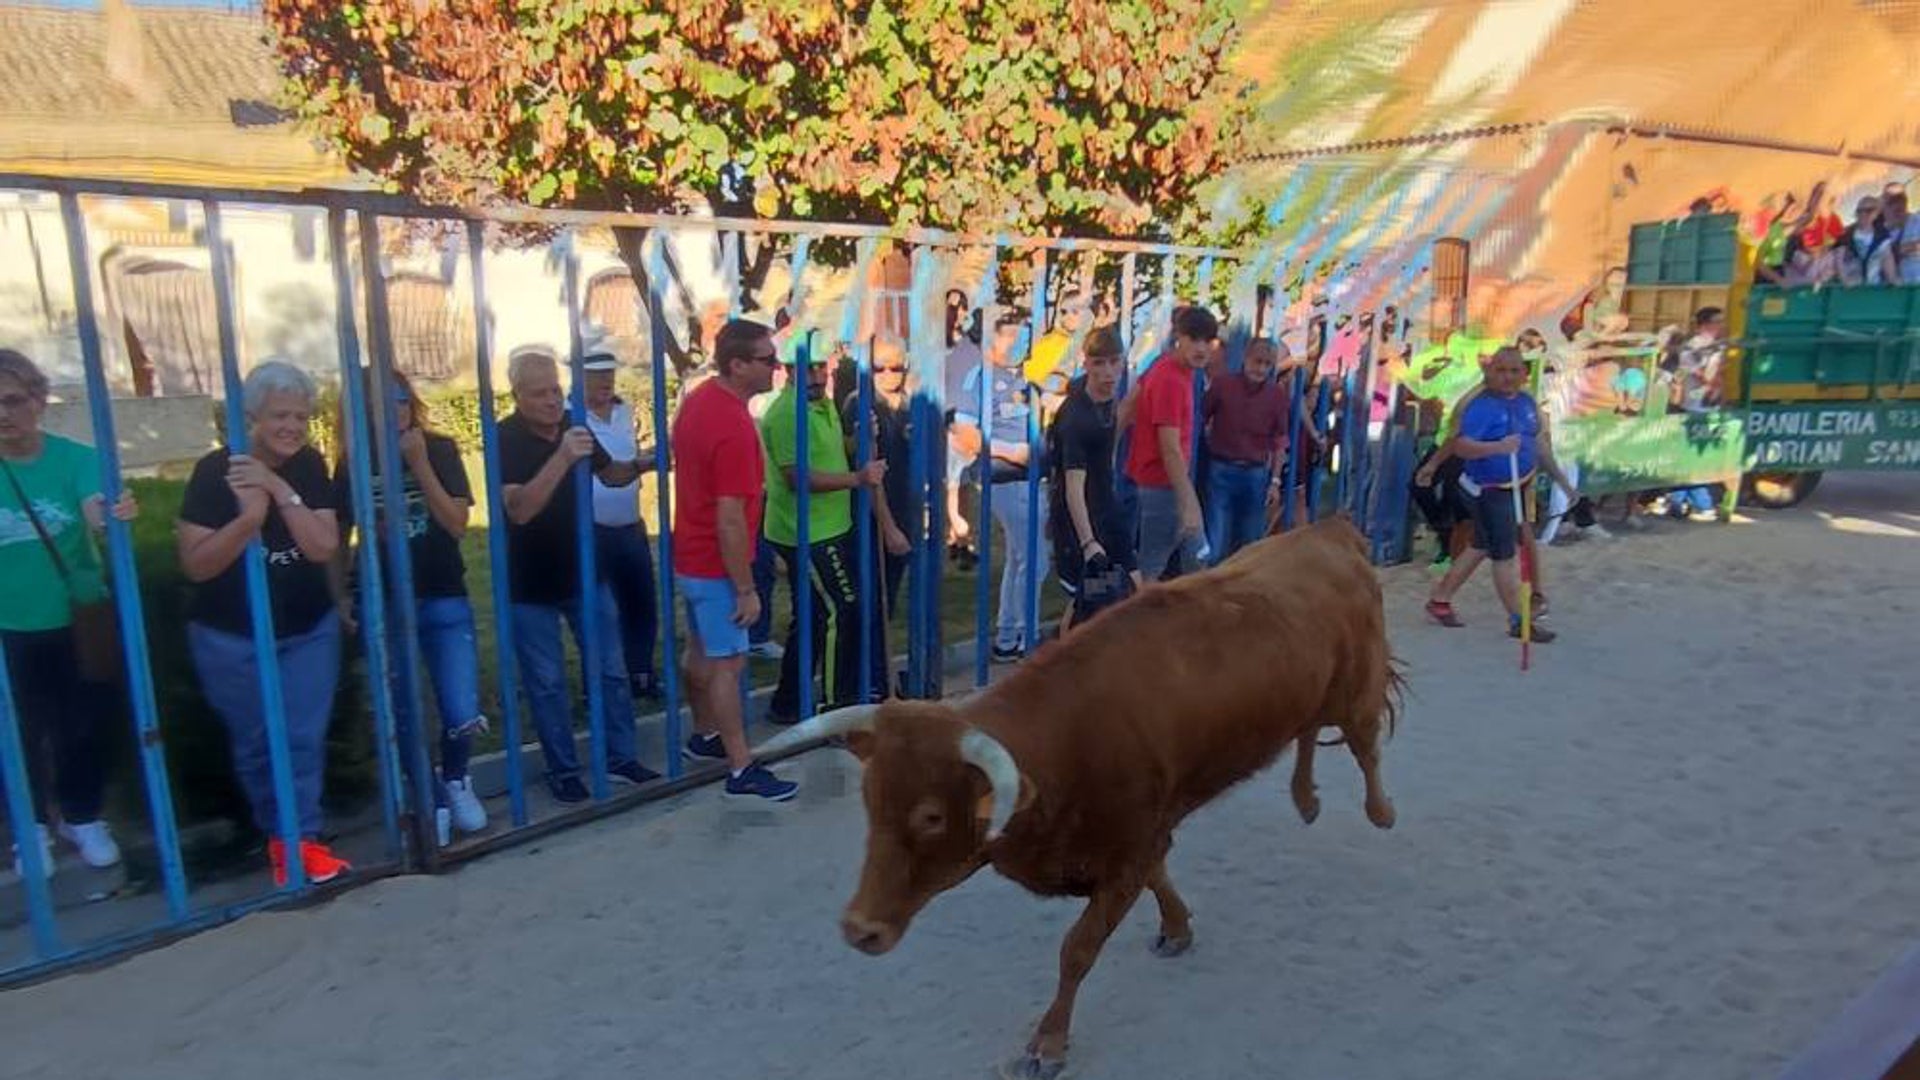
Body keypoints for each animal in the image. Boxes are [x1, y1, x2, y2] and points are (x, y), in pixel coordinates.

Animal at [752, 515, 1413, 1076]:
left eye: (932, 816)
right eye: (870, 801)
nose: (858, 929)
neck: (1065, 741)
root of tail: (1326, 530)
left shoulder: (1129, 847)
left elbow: (1078, 948)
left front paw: (1047, 1044)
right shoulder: (1137, 841)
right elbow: (1157, 878)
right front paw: (1177, 927)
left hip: (1355, 687)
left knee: (1363, 744)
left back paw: (1379, 812)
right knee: (1308, 729)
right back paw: (1306, 800)